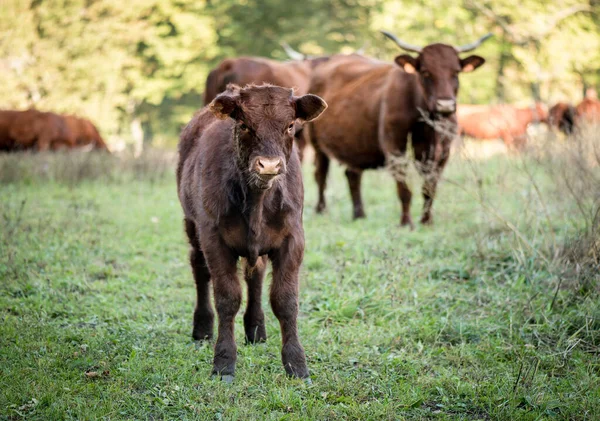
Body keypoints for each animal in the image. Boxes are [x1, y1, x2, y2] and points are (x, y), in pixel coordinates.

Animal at [178, 83, 328, 378]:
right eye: (244, 125)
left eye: (290, 125)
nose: (269, 165)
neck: (257, 200)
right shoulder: (213, 239)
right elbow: (227, 299)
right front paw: (224, 362)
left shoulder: (293, 239)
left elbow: (285, 300)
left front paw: (296, 364)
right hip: (192, 227)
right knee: (199, 270)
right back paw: (202, 327)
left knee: (256, 276)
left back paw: (256, 329)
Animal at [308, 30, 490, 226]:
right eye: (426, 72)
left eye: (456, 72)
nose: (445, 105)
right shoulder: (395, 147)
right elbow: (404, 188)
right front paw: (406, 222)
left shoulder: (441, 152)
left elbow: (429, 187)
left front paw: (426, 220)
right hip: (316, 143)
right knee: (320, 175)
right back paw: (321, 210)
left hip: (355, 144)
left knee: (353, 175)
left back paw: (359, 214)